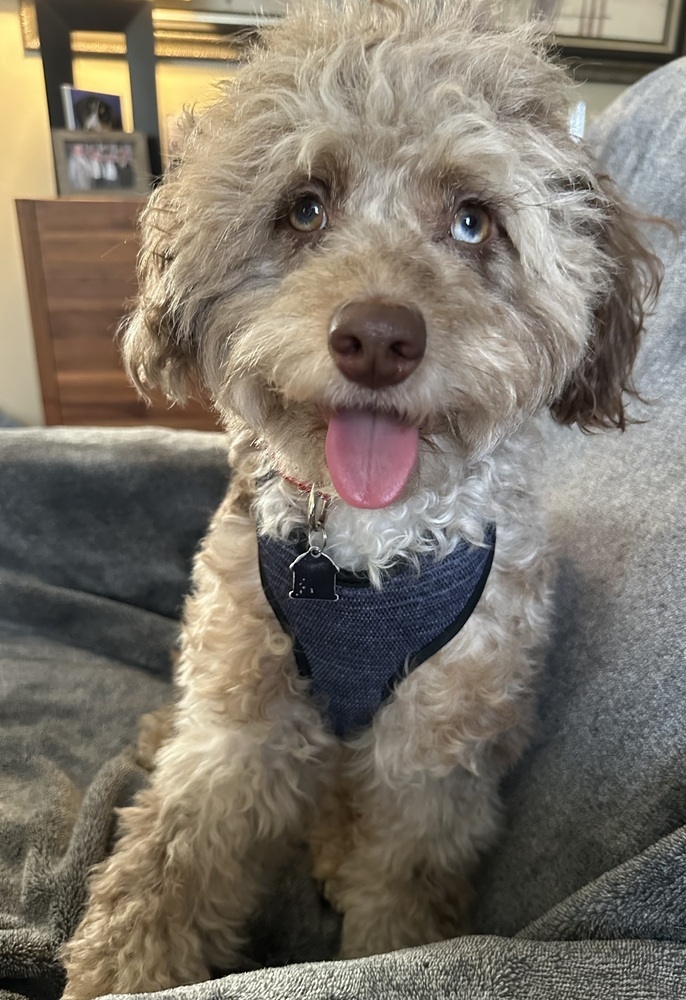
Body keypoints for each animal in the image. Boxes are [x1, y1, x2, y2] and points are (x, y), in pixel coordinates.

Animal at [61, 3, 664, 996]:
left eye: (473, 221)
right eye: (306, 207)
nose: (378, 338)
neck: (367, 546)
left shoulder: (435, 762)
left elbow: (402, 912)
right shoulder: (237, 724)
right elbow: (169, 865)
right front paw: (127, 966)